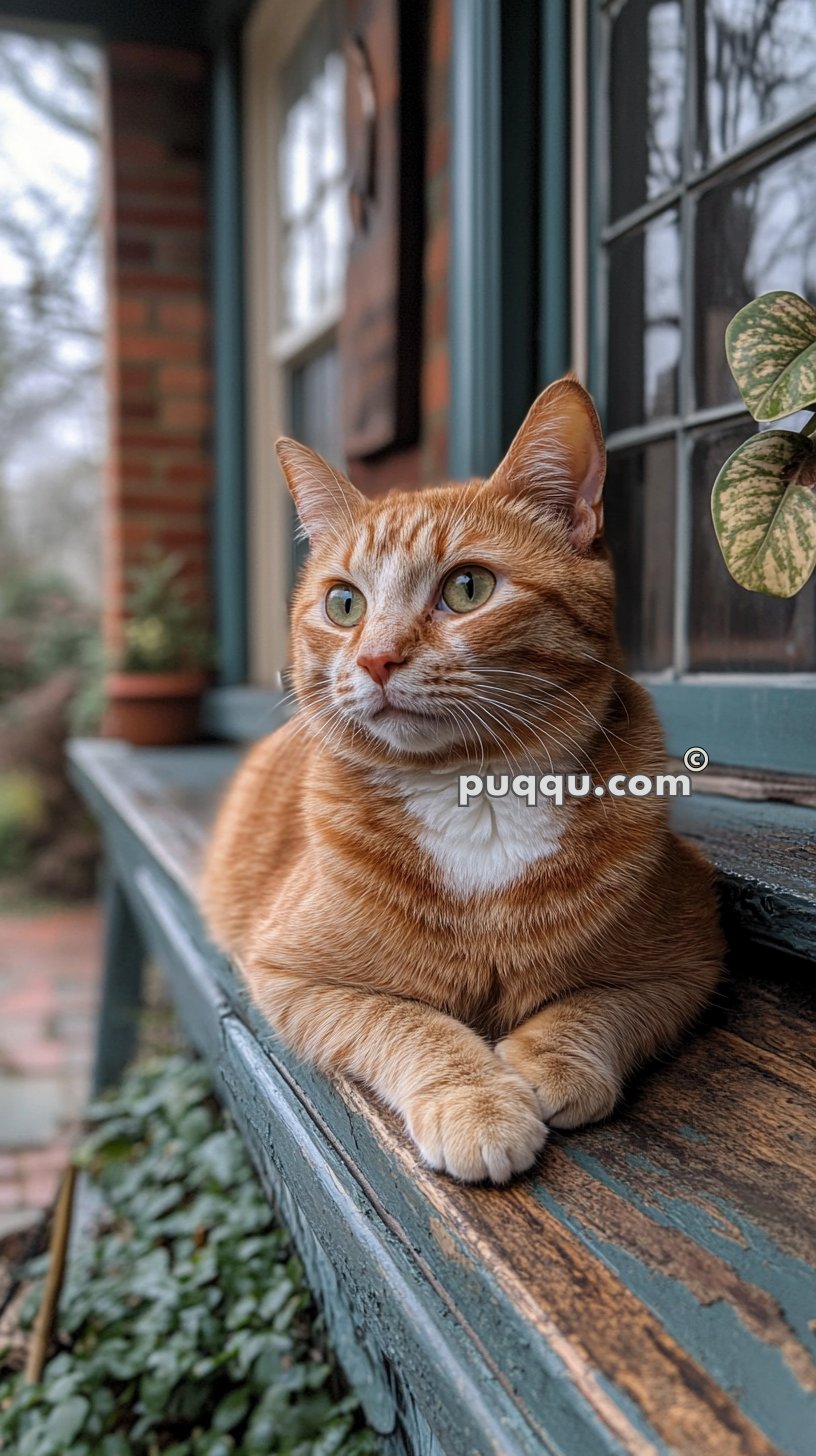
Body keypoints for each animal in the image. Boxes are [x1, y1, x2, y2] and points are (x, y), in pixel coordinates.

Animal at [201, 375, 722, 1182]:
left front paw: (550, 1060)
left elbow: (596, 1003)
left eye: (468, 588)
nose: (375, 659)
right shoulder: (290, 974)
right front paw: (475, 1100)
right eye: (343, 603)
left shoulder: (688, 959)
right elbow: (406, 1020)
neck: (478, 797)